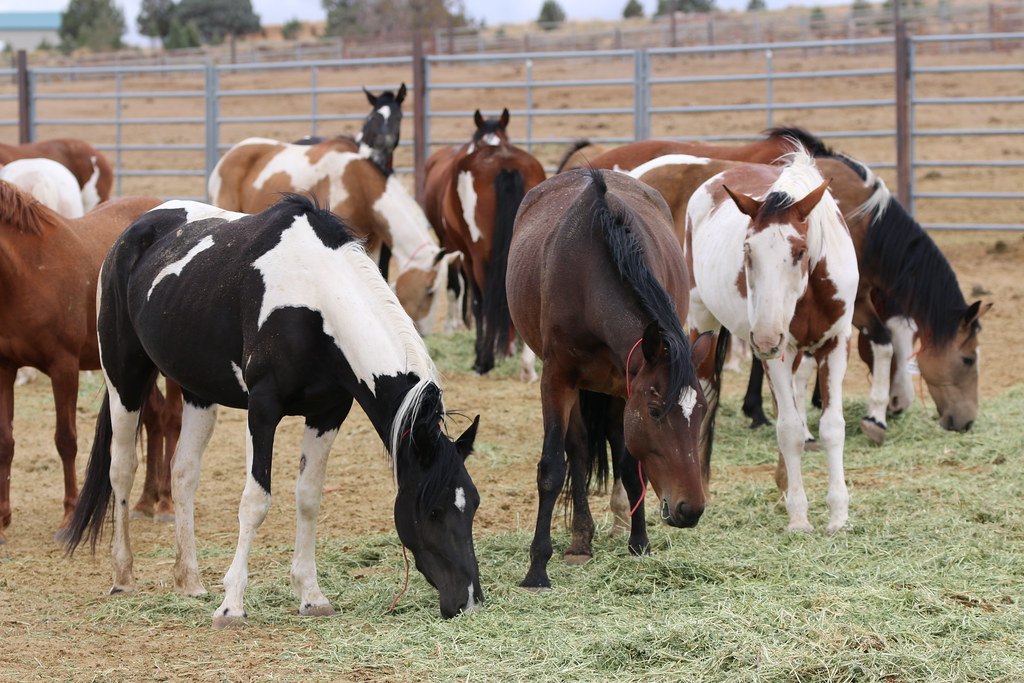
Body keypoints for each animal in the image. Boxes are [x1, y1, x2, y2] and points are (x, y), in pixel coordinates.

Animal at [0, 182, 172, 545]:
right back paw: (144, 502)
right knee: (154, 419)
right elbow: (5, 442)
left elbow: (66, 440)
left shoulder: (63, 368)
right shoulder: (5, 368)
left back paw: (165, 503)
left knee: (171, 419)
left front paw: (68, 517)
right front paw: (2, 520)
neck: (27, 271)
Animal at [64, 194, 483, 625]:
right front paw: (232, 604)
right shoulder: (262, 410)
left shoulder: (328, 413)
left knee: (183, 474)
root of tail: (137, 228)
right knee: (122, 469)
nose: (469, 600)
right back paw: (123, 575)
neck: (315, 301)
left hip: (197, 391)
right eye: (432, 511)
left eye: (472, 504)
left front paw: (311, 596)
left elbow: (309, 498)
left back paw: (189, 579)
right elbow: (255, 501)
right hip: (124, 377)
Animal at [423, 109, 546, 375]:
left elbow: (477, 302)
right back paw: (527, 365)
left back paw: (487, 360)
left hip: (479, 258)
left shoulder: (465, 255)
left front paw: (482, 357)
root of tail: (505, 165)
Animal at [507, 168, 714, 590]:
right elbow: (552, 469)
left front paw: (640, 543)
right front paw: (537, 568)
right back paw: (580, 541)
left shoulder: (625, 383)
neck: (590, 280)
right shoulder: (556, 378)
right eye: (655, 411)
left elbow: (631, 466)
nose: (691, 509)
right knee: (578, 450)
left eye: (701, 412)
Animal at [684, 150, 858, 533]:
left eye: (800, 251)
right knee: (705, 392)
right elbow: (790, 430)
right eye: (748, 251)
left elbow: (831, 427)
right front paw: (799, 519)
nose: (764, 337)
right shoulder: (779, 351)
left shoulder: (835, 345)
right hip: (702, 321)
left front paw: (838, 516)